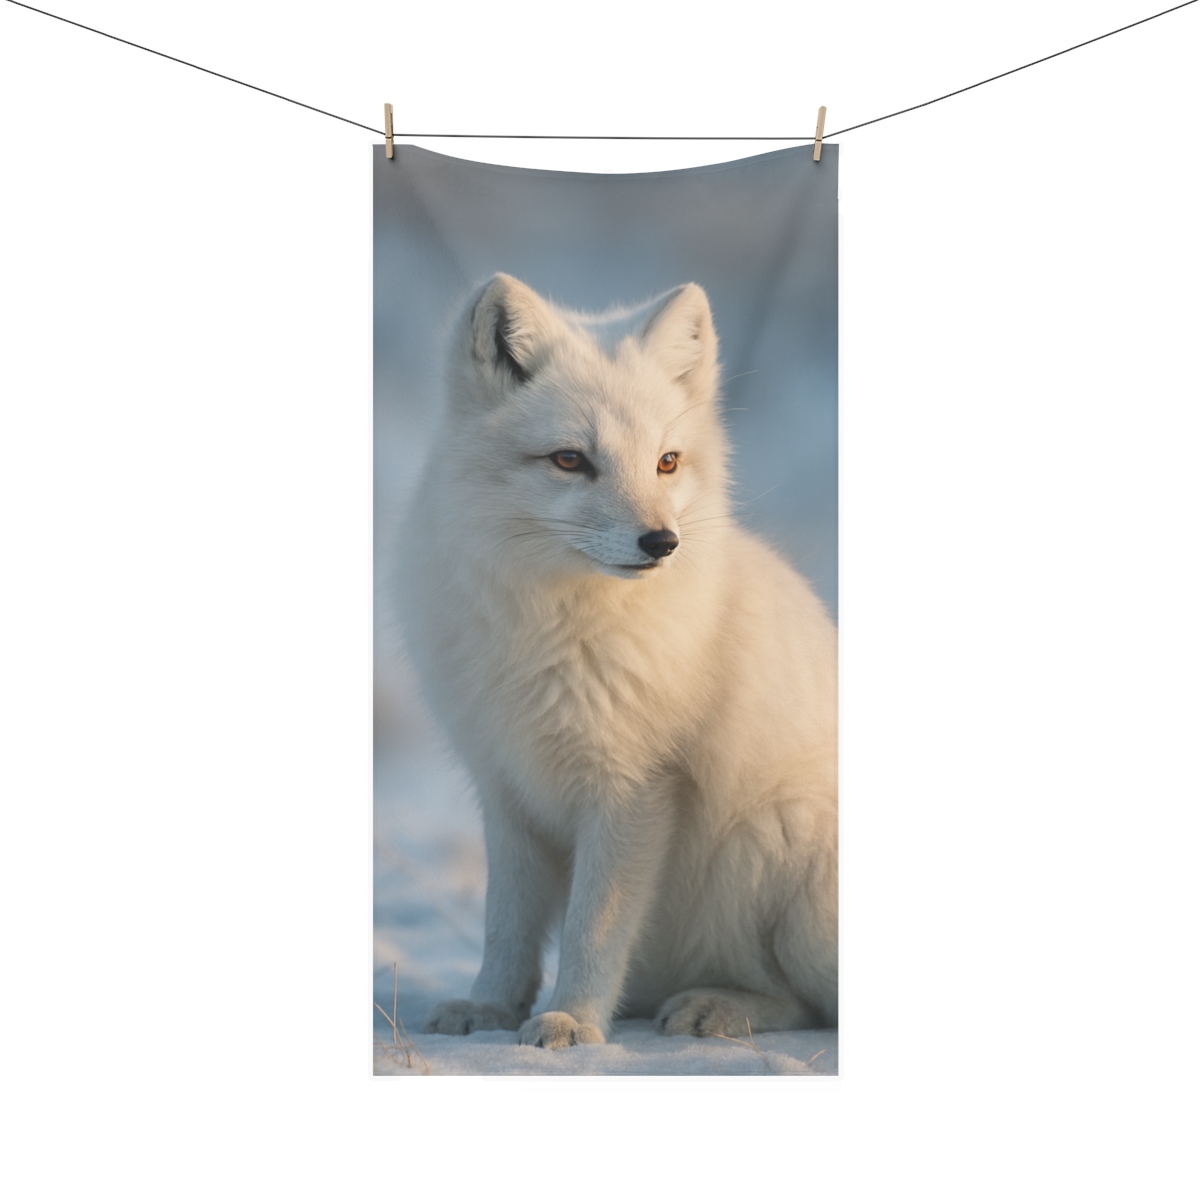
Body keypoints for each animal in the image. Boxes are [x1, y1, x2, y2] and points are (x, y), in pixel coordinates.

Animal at [397, 273, 837, 1049]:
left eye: (667, 461)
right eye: (570, 459)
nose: (662, 543)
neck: (552, 629)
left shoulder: (633, 788)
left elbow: (594, 927)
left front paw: (571, 1018)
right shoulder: (506, 787)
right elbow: (505, 926)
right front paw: (489, 1006)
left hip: (777, 842)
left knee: (809, 1004)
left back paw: (714, 1009)